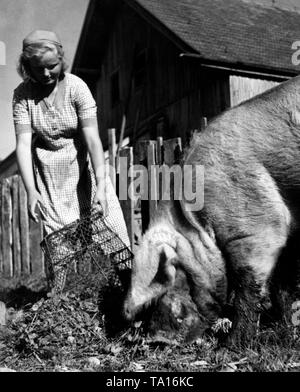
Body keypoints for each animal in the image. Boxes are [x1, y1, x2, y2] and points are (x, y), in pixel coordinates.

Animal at [123, 74, 300, 346]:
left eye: (170, 272)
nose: (158, 339)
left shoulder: (255, 224)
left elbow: (249, 281)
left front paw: (231, 346)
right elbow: (283, 284)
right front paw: (286, 331)